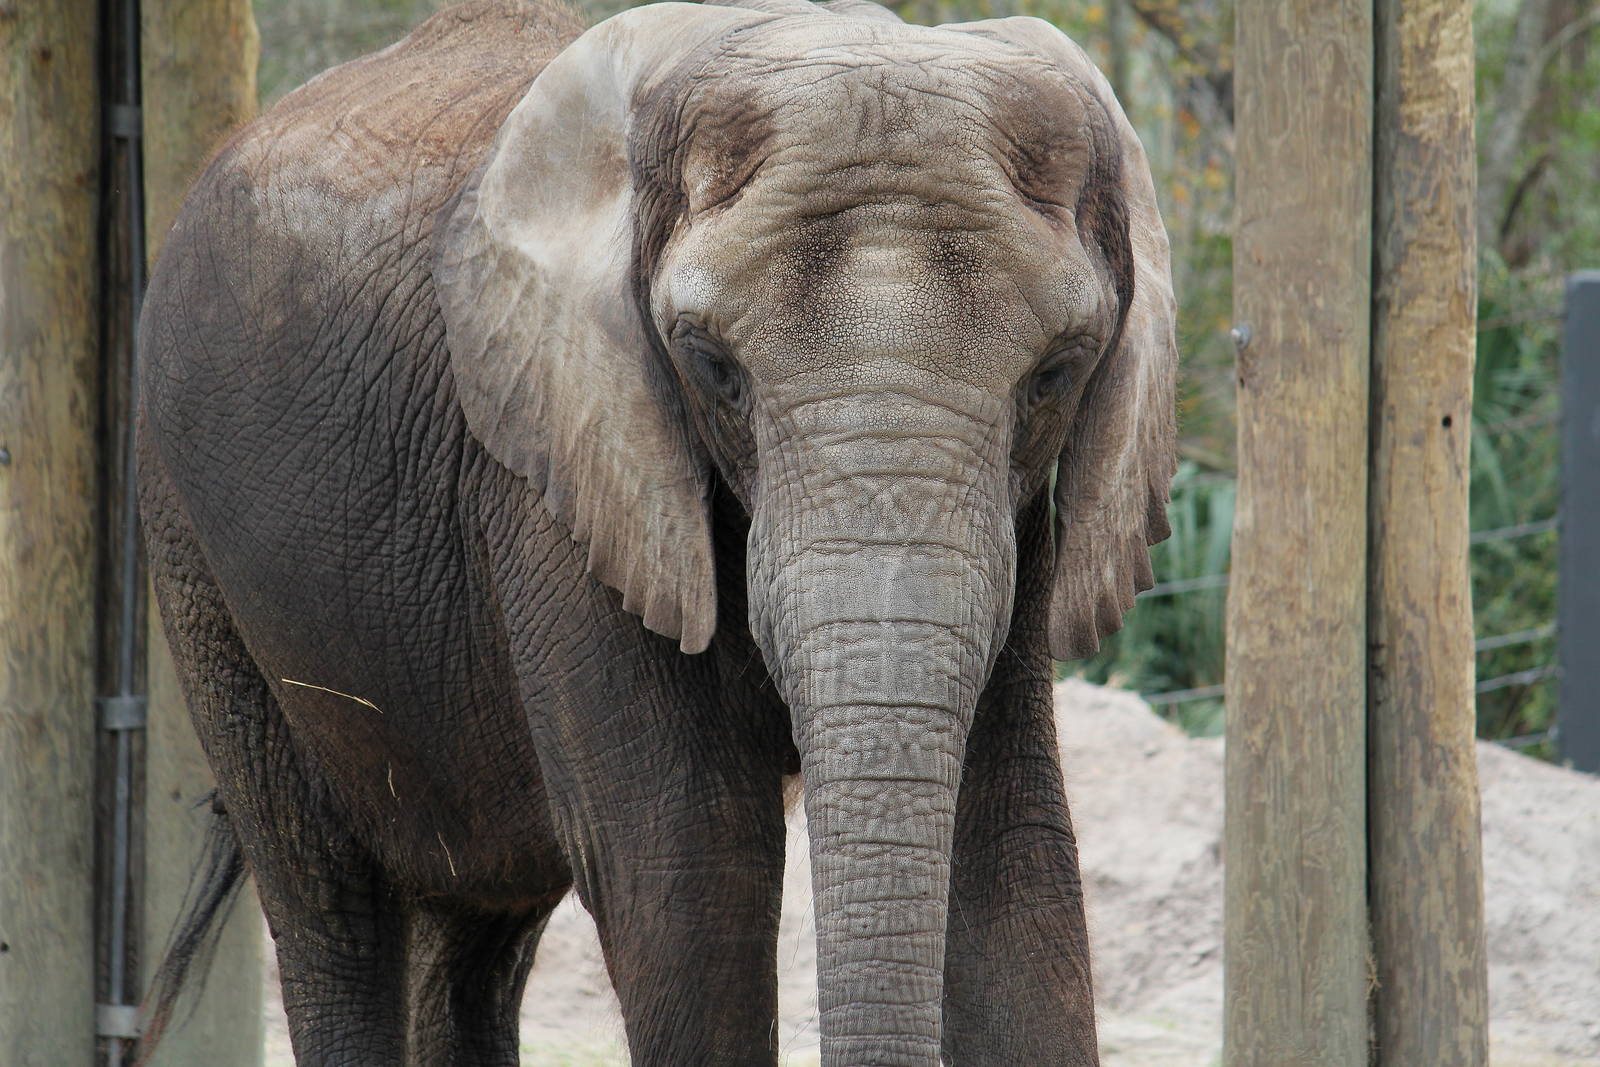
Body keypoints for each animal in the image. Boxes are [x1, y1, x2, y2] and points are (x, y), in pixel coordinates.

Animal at [135, 0, 1177, 1064]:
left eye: (1058, 371)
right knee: (330, 907)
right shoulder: (560, 472)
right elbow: (691, 869)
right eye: (711, 365)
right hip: (189, 537)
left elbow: (1013, 856)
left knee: (477, 929)